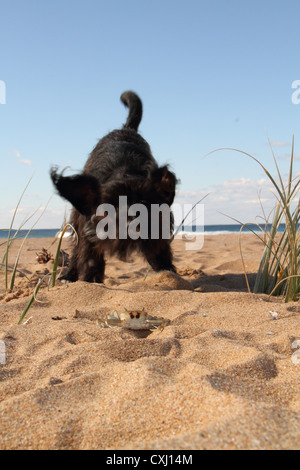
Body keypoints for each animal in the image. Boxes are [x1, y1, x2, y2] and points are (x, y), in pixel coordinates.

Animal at [51, 92, 178, 282]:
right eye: (109, 208)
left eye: (145, 202)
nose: (132, 220)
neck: (124, 171)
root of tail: (126, 129)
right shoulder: (88, 229)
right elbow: (89, 257)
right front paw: (90, 280)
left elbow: (160, 254)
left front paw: (169, 274)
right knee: (76, 250)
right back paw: (69, 274)